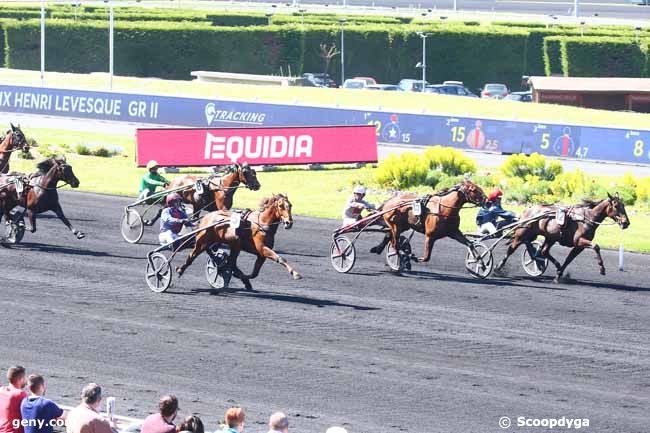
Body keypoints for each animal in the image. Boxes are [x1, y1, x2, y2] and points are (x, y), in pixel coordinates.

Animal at [496, 193, 628, 284]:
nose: (626, 223)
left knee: (544, 251)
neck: (586, 218)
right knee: (511, 249)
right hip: (522, 235)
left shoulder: (578, 246)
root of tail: (527, 210)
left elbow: (569, 259)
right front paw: (602, 268)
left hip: (549, 237)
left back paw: (556, 265)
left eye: (623, 206)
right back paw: (498, 268)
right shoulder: (580, 241)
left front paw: (559, 275)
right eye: (616, 206)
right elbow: (596, 246)